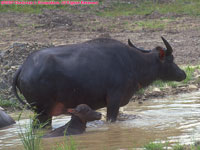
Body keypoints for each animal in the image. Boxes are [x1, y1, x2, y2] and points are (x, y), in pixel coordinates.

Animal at [12, 37, 187, 123]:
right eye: (171, 59)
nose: (183, 74)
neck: (133, 63)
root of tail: (24, 67)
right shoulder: (114, 100)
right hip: (43, 111)